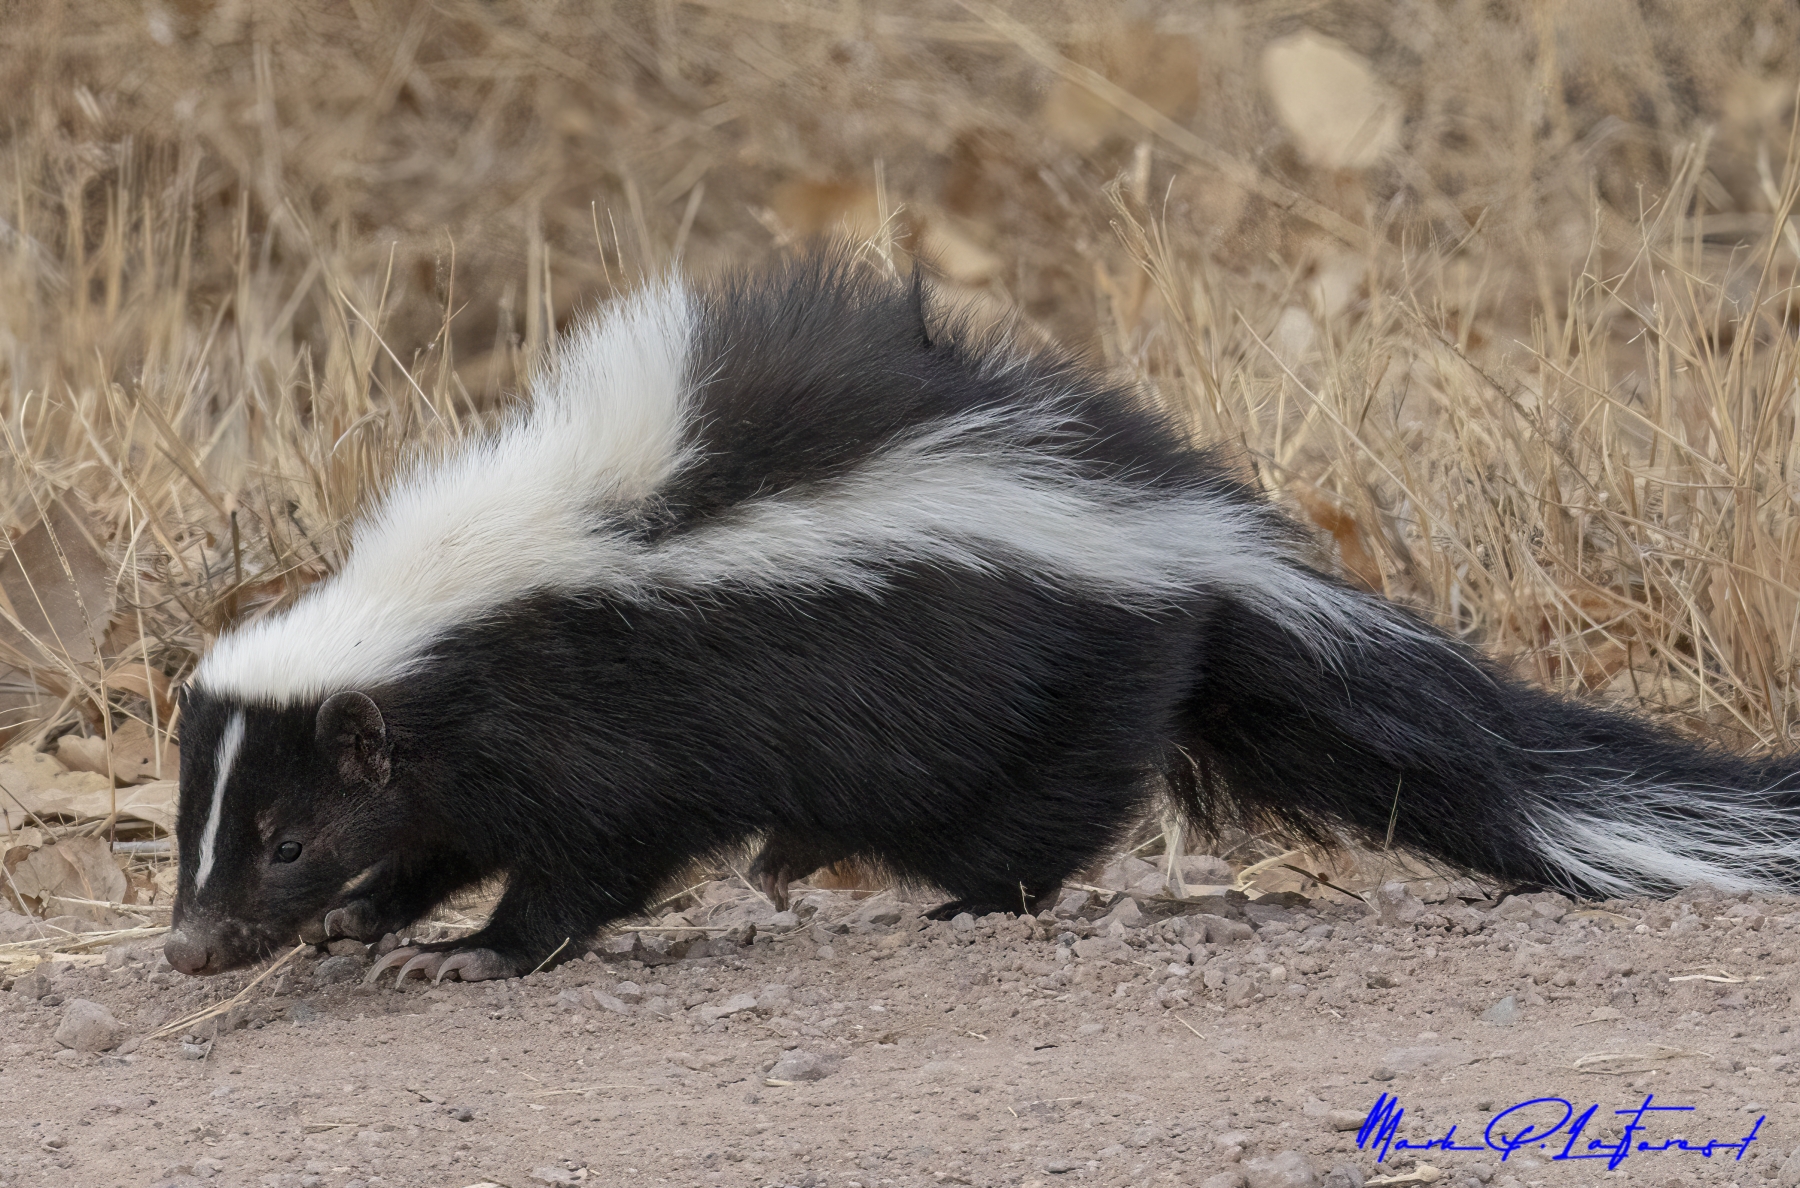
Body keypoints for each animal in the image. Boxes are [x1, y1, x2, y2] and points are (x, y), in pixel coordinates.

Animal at [165, 253, 1800, 986]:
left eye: (285, 838)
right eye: (200, 832)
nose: (189, 947)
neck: (454, 599)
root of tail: (1192, 525)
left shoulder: (616, 709)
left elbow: (595, 853)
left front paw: (482, 953)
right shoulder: (477, 731)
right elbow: (446, 823)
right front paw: (377, 919)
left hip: (1069, 666)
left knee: (1042, 805)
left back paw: (960, 899)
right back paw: (802, 854)